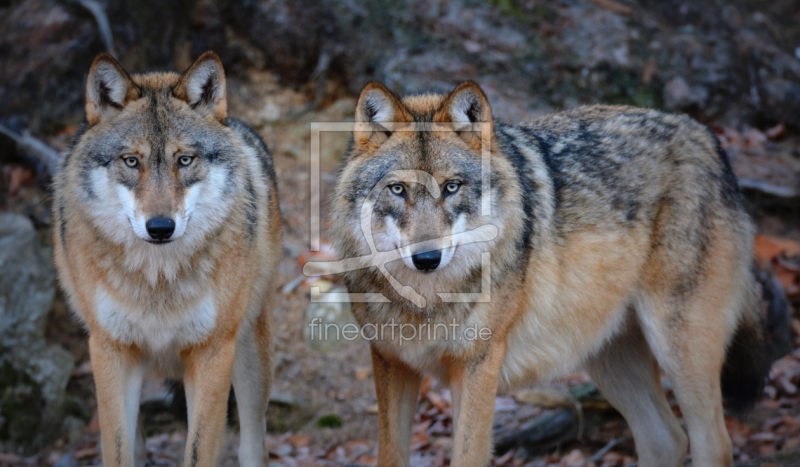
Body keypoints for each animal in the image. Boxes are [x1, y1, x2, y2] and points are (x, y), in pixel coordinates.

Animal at [53, 51, 282, 467]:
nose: (160, 227)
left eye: (185, 160)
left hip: (247, 354)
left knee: (252, 443)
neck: (157, 279)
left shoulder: (211, 352)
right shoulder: (109, 349)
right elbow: (118, 450)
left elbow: (199, 450)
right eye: (131, 161)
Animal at [328, 81, 792, 467]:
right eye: (398, 189)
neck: (425, 299)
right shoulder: (390, 361)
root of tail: (706, 136)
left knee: (713, 444)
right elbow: (389, 455)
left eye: (452, 187)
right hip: (610, 358)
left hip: (680, 349)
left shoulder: (478, 365)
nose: (427, 258)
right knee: (667, 440)